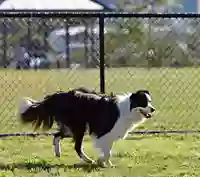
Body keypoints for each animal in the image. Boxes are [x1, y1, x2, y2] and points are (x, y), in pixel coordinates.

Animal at [18, 88, 155, 167]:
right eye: (144, 102)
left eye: (150, 101)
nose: (153, 109)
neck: (128, 108)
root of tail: (55, 96)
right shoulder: (104, 133)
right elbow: (107, 152)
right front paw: (104, 163)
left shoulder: (108, 136)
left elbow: (107, 151)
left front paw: (103, 161)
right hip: (79, 127)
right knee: (77, 147)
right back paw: (88, 160)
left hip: (71, 128)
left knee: (56, 136)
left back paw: (58, 153)